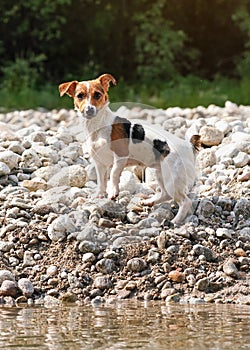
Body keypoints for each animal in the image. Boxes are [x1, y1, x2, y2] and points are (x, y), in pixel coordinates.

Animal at [58, 73, 199, 224]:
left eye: (97, 95)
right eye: (80, 96)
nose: (89, 109)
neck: (98, 125)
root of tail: (189, 146)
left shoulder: (120, 156)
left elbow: (114, 174)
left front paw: (113, 192)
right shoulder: (99, 163)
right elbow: (101, 182)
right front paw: (99, 195)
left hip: (172, 179)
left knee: (185, 202)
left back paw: (175, 221)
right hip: (160, 173)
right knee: (166, 194)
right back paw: (149, 202)